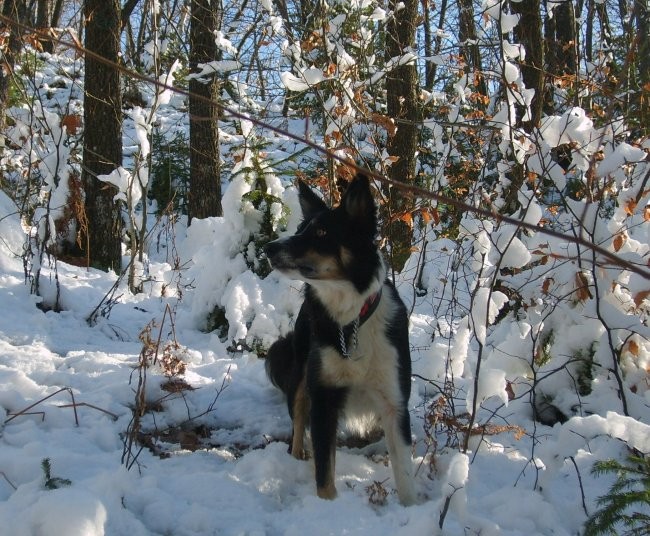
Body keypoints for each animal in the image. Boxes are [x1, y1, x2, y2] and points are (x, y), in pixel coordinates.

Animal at [264, 173, 416, 506]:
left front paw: (412, 507)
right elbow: (324, 472)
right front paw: (327, 507)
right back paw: (297, 454)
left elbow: (404, 474)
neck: (351, 320)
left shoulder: (394, 401)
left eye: (322, 232)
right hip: (301, 371)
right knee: (298, 420)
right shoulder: (324, 396)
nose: (268, 247)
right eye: (300, 230)